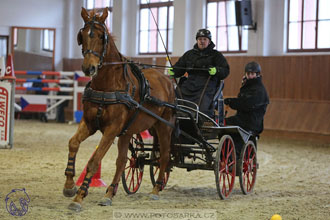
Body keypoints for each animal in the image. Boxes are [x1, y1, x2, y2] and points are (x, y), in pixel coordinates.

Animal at [62, 7, 175, 211]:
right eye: (82, 35)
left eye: (101, 36)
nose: (88, 68)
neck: (108, 85)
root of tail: (168, 81)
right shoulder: (90, 123)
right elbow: (73, 143)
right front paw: (69, 186)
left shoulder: (111, 129)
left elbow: (94, 161)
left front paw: (79, 197)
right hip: (128, 131)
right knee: (122, 161)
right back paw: (109, 194)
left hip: (164, 127)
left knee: (163, 157)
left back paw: (156, 189)